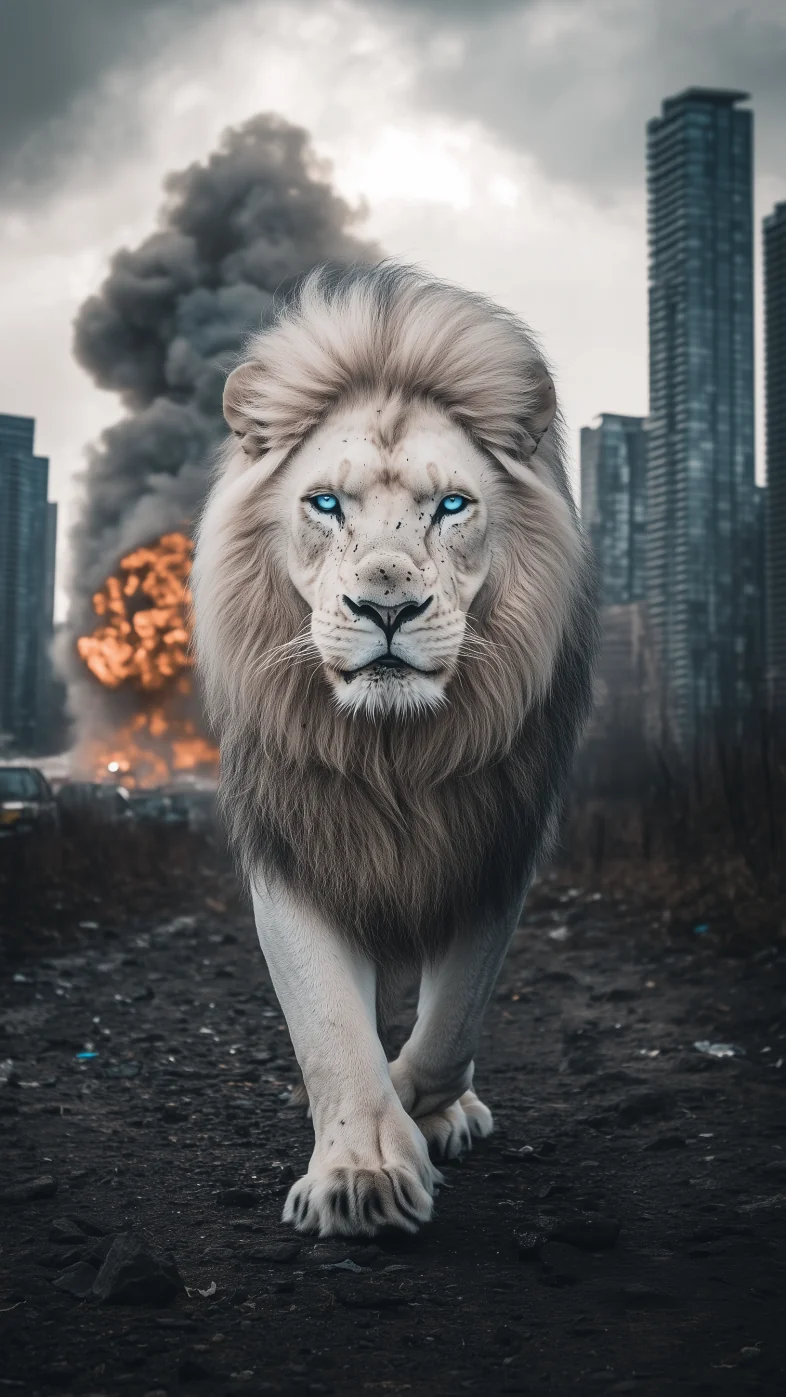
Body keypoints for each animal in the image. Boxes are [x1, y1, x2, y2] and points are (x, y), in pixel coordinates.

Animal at [192, 263, 597, 1237]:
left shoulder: (498, 843)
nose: (386, 607)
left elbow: (454, 1017)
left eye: (450, 505)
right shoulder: (294, 841)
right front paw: (364, 1167)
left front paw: (419, 1102)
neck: (394, 755)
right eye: (324, 502)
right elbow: (331, 1027)